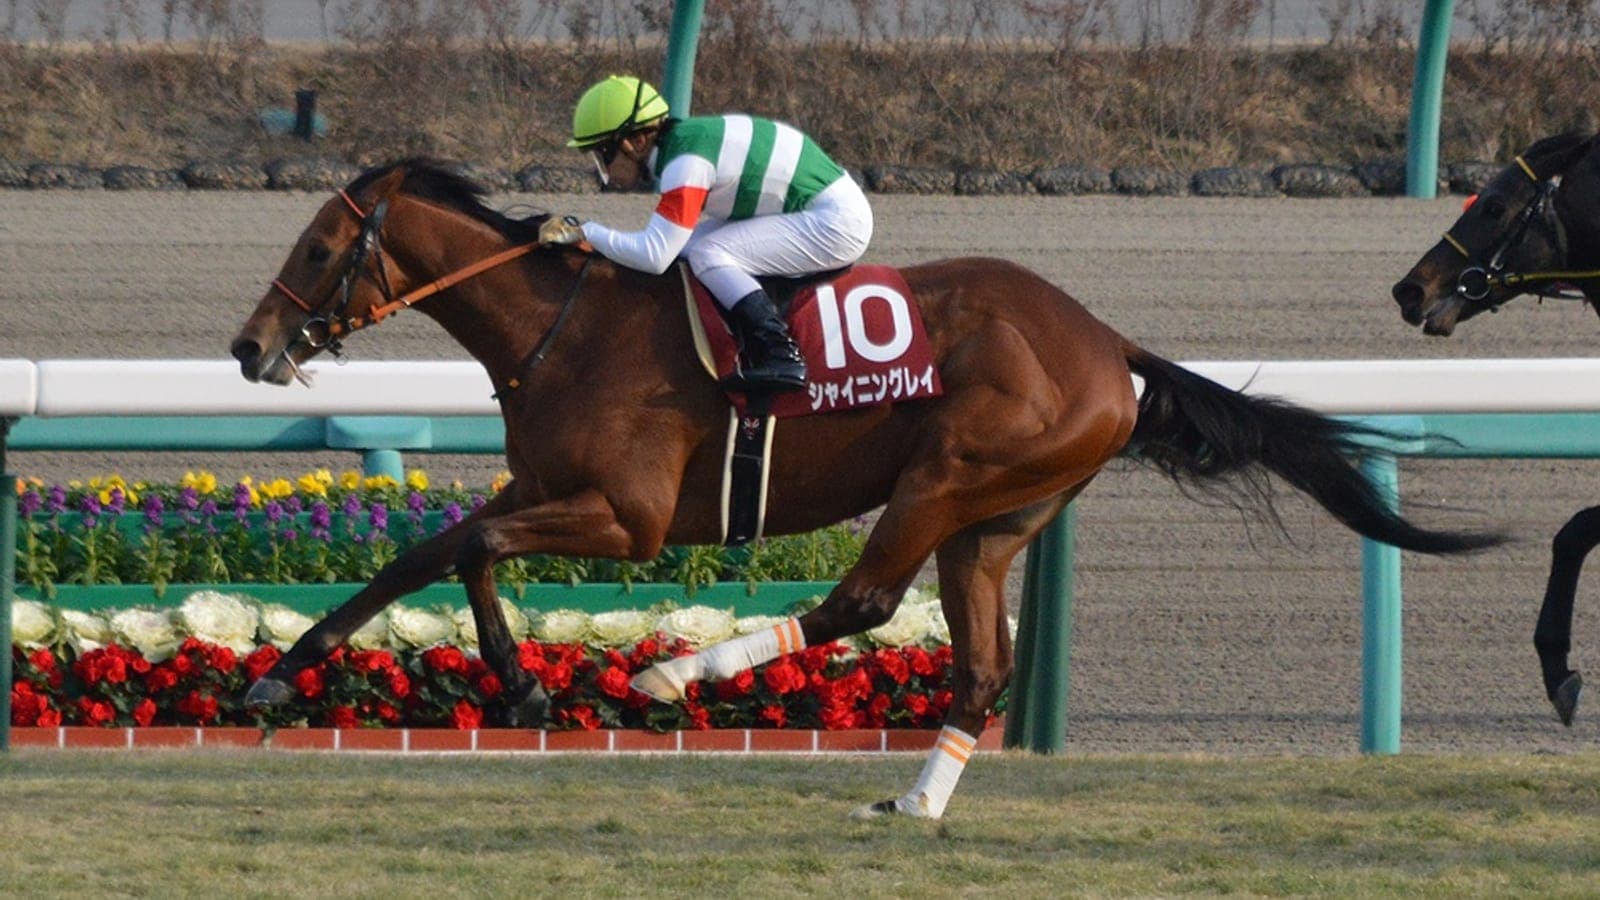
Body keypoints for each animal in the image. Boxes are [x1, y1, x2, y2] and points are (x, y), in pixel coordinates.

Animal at [232, 158, 1497, 819]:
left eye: (313, 250)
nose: (249, 350)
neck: (565, 330)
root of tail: (1107, 344)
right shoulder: (549, 490)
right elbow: (437, 550)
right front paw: (292, 676)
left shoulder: (628, 519)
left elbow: (463, 550)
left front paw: (517, 685)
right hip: (996, 519)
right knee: (980, 665)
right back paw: (918, 804)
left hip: (948, 475)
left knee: (864, 602)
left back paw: (671, 676)